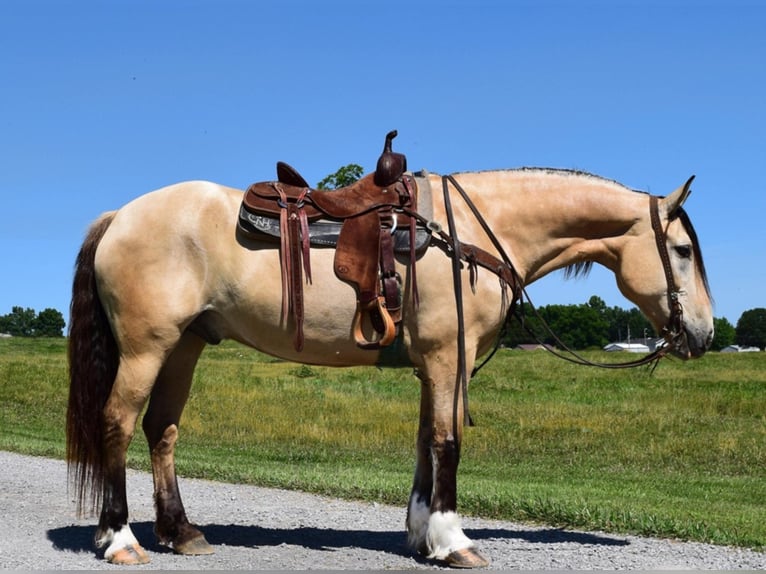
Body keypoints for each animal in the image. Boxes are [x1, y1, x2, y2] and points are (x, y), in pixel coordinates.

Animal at [64, 136, 712, 572]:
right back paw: (120, 539)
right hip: (147, 347)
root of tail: (120, 216)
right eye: (681, 250)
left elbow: (426, 441)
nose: (702, 334)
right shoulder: (450, 358)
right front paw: (455, 542)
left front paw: (422, 534)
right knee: (118, 424)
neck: (472, 232)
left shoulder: (435, 363)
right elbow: (448, 441)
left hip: (185, 345)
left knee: (162, 430)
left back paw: (181, 532)